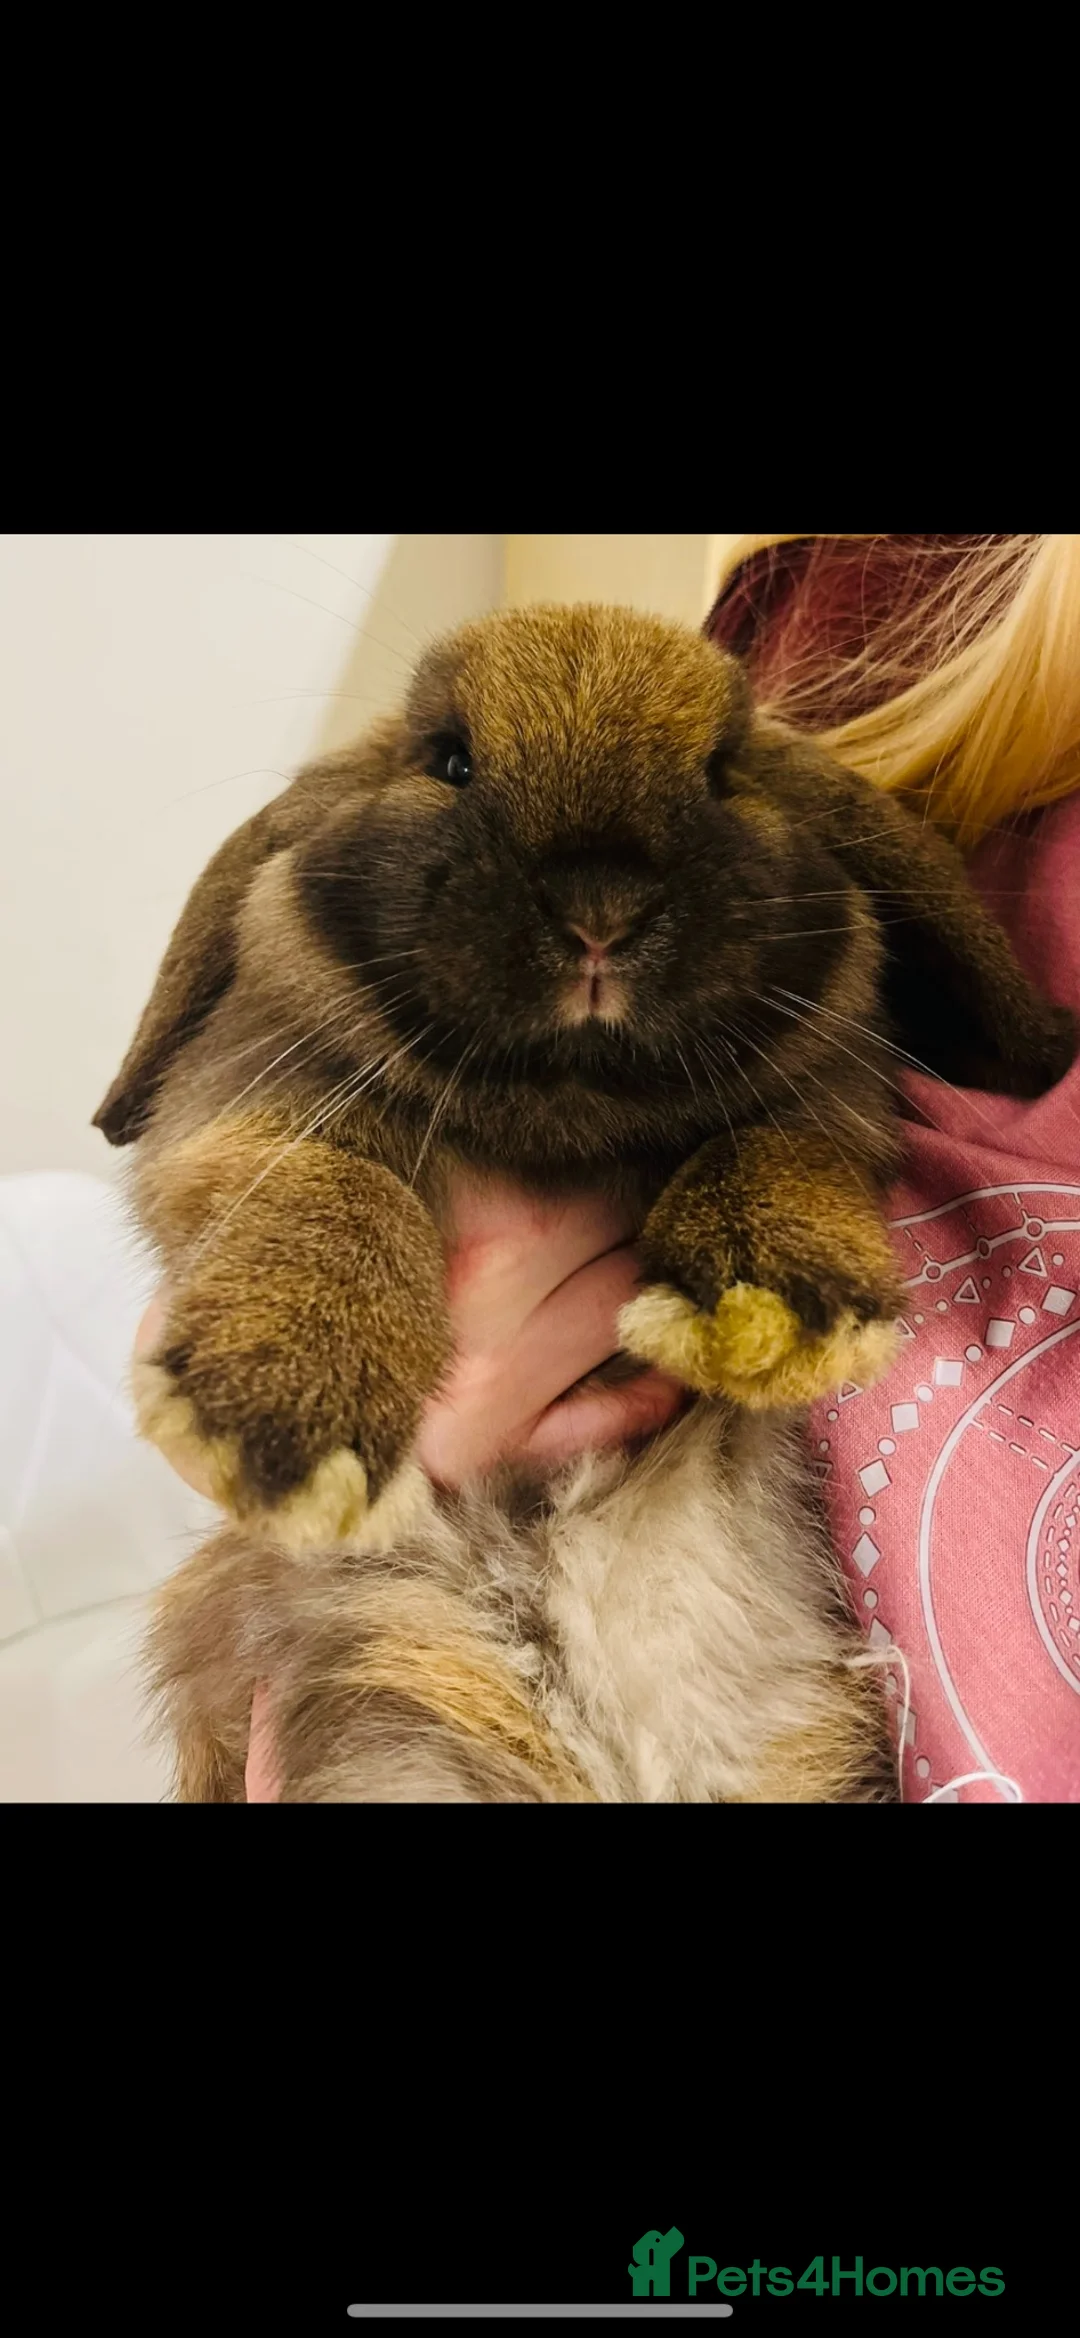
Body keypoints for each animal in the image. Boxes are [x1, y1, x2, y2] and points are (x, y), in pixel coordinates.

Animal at [94, 603, 1076, 1802]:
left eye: (722, 771)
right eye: (450, 759)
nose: (599, 908)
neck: (563, 1113)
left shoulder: (831, 1107)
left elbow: (775, 1142)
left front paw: (770, 1312)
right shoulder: (243, 1118)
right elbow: (337, 1194)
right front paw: (280, 1416)